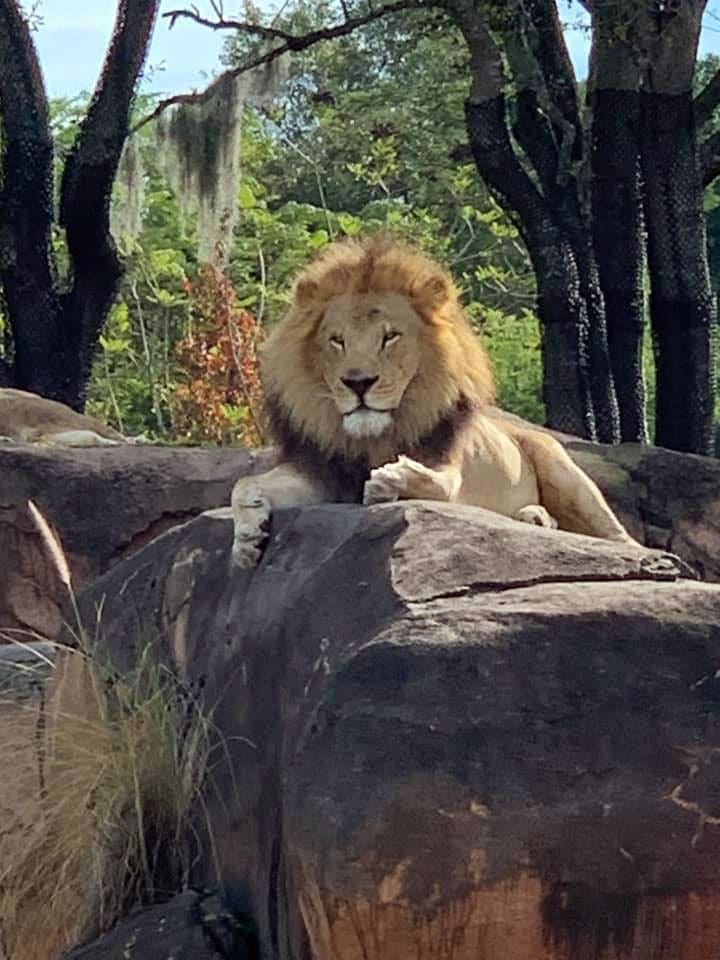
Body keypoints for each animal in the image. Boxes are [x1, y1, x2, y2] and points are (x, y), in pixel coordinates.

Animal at [229, 239, 636, 568]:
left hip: (561, 468)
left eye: (390, 337)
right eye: (337, 340)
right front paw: (247, 537)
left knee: (620, 540)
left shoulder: (449, 469)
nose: (358, 382)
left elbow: (437, 485)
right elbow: (244, 484)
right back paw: (535, 517)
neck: (374, 437)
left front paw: (388, 480)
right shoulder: (319, 472)